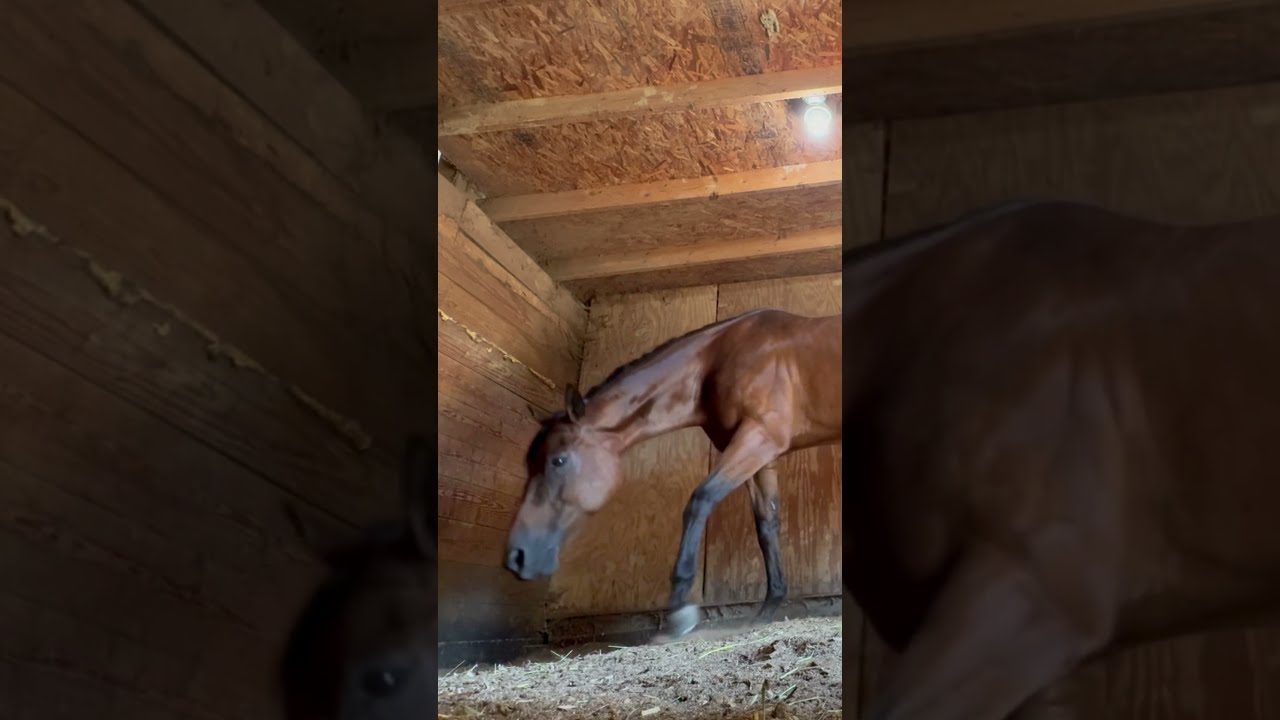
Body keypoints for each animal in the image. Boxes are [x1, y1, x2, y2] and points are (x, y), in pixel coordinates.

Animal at [505, 308, 841, 637]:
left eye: (558, 461)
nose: (516, 557)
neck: (720, 358)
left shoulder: (759, 437)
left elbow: (700, 500)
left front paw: (680, 609)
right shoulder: (763, 456)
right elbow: (767, 526)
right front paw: (767, 610)